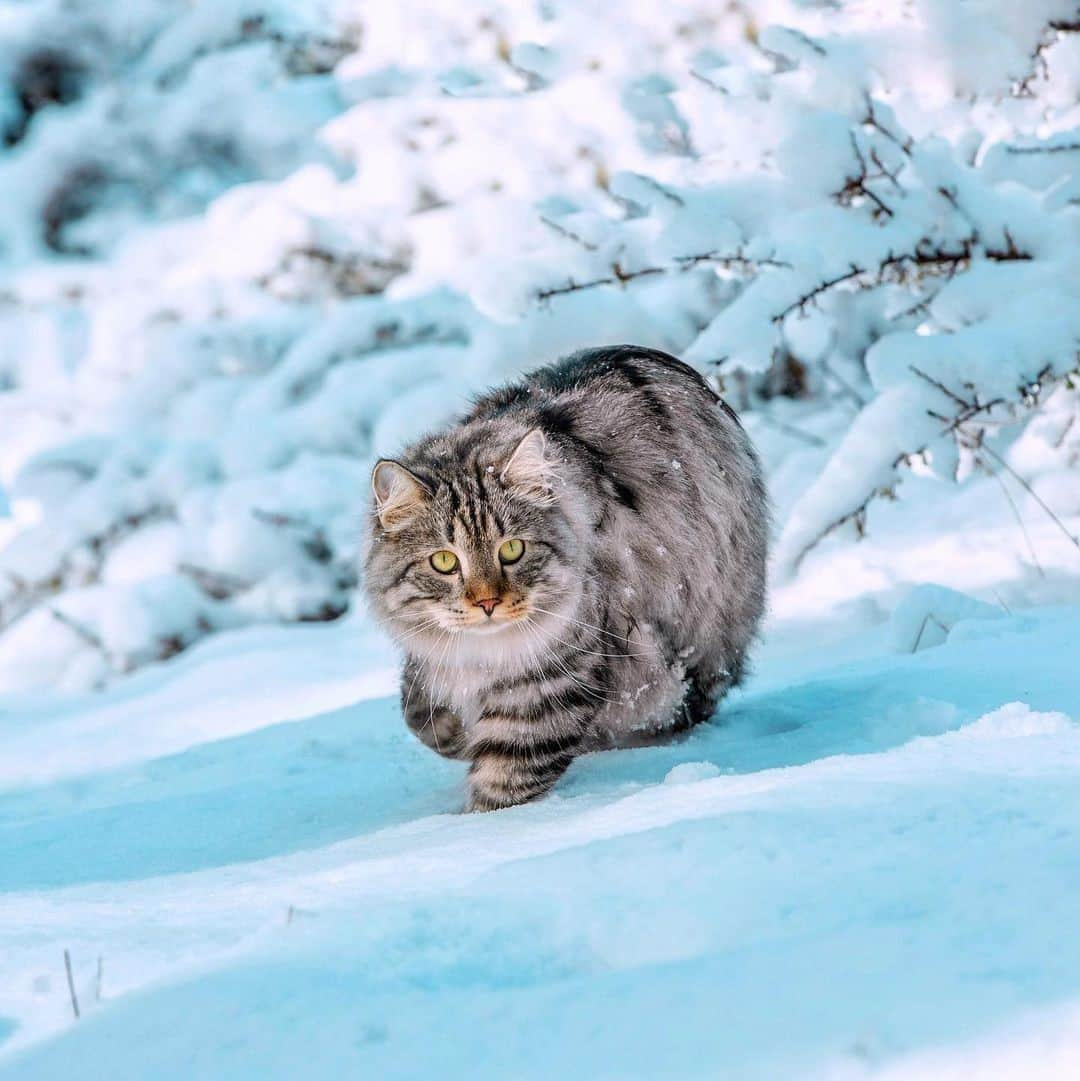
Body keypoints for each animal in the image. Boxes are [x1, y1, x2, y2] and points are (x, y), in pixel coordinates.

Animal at [363, 345, 769, 812]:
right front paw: (454, 735)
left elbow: (505, 778)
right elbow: (419, 713)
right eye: (445, 561)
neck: (484, 655)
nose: (487, 603)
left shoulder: (555, 677)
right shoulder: (434, 661)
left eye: (512, 550)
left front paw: (477, 824)